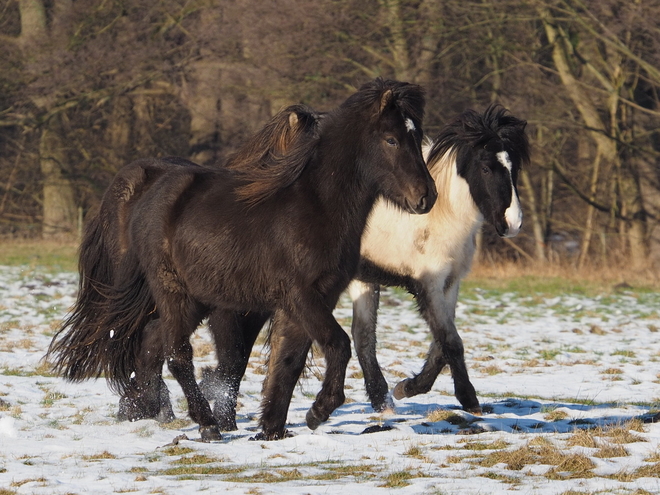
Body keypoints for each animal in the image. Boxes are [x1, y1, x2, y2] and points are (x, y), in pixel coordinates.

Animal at [47, 79, 438, 444]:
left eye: (415, 136)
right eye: (391, 139)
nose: (426, 197)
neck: (315, 208)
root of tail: (147, 194)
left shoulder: (312, 299)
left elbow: (288, 362)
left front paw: (272, 429)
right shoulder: (299, 295)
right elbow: (337, 344)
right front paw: (318, 411)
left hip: (196, 299)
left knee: (152, 340)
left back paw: (149, 411)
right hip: (174, 292)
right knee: (177, 353)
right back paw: (205, 425)